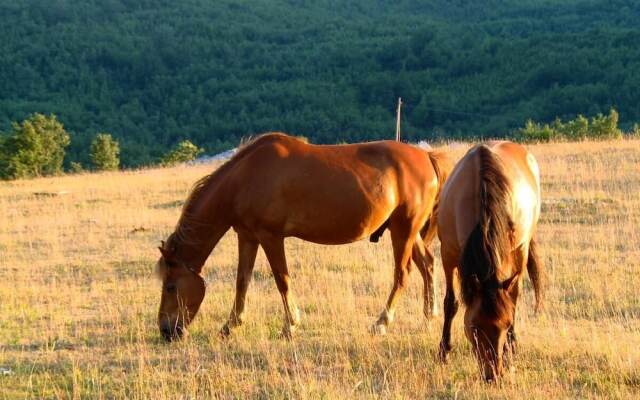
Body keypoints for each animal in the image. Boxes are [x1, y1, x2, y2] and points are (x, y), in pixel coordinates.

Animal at [155, 132, 452, 340]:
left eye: (170, 286)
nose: (166, 331)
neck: (245, 178)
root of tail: (427, 157)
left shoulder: (271, 237)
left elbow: (281, 280)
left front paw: (290, 325)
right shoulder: (247, 237)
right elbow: (242, 281)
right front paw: (231, 325)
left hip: (403, 230)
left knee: (402, 274)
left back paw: (381, 322)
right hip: (407, 231)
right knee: (427, 265)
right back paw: (429, 316)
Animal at [436, 141, 544, 382]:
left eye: (505, 325)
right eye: (474, 327)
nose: (493, 375)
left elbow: (511, 302)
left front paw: (510, 348)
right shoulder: (447, 254)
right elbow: (451, 303)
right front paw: (443, 351)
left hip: (520, 250)